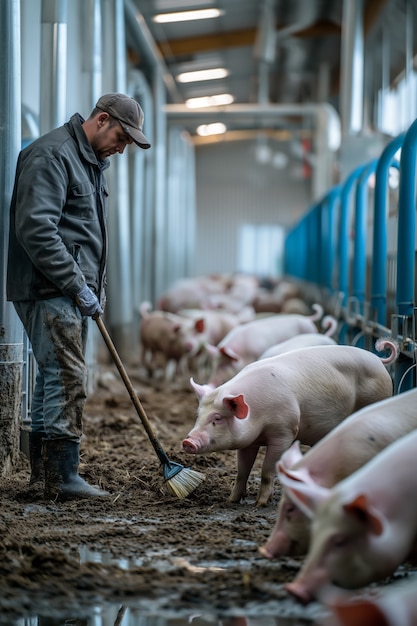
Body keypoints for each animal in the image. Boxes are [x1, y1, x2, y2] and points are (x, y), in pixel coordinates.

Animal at [182, 344, 394, 504]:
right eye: (198, 415)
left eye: (217, 418)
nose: (187, 442)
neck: (258, 414)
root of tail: (378, 359)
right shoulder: (248, 442)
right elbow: (242, 471)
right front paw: (231, 501)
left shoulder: (284, 431)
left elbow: (267, 470)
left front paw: (260, 504)